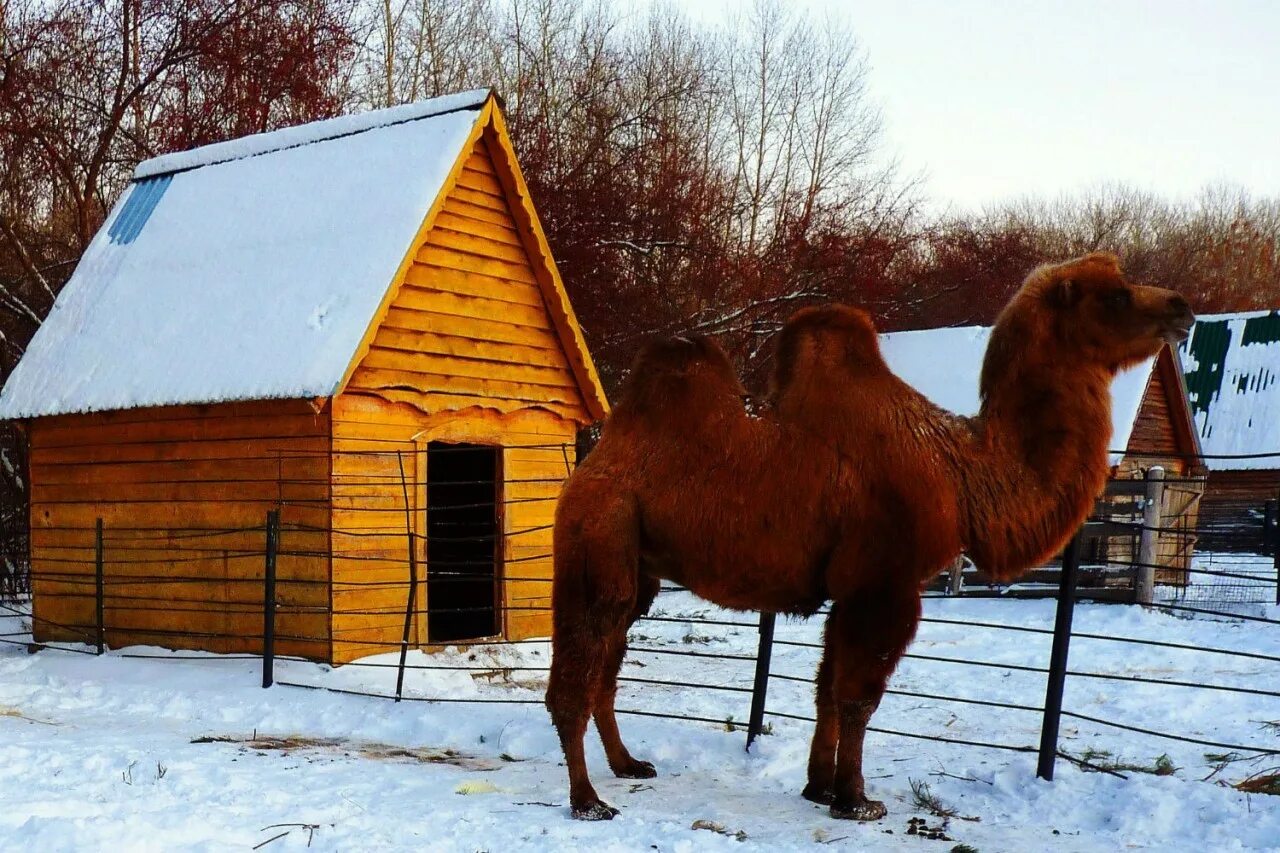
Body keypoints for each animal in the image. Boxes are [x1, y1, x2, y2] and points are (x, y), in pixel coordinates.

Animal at [545, 252, 1192, 819]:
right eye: (1115, 295)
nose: (1181, 305)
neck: (962, 473)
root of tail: (594, 459)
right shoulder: (887, 582)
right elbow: (860, 695)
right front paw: (857, 800)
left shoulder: (851, 588)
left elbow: (828, 688)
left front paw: (818, 787)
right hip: (598, 532)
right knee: (575, 674)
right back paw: (588, 800)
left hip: (639, 569)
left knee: (607, 664)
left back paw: (628, 765)